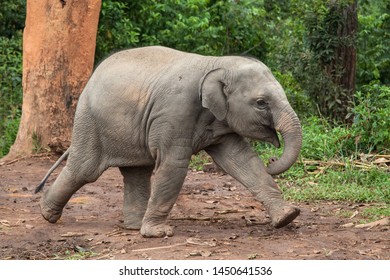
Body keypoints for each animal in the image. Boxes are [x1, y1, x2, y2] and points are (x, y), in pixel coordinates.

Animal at [35, 46, 302, 238]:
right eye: (261, 103)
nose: (272, 159)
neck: (215, 63)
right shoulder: (175, 111)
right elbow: (174, 164)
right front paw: (159, 233)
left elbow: (241, 160)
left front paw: (287, 216)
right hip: (89, 121)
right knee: (84, 169)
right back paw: (47, 215)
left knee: (136, 172)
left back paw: (134, 226)